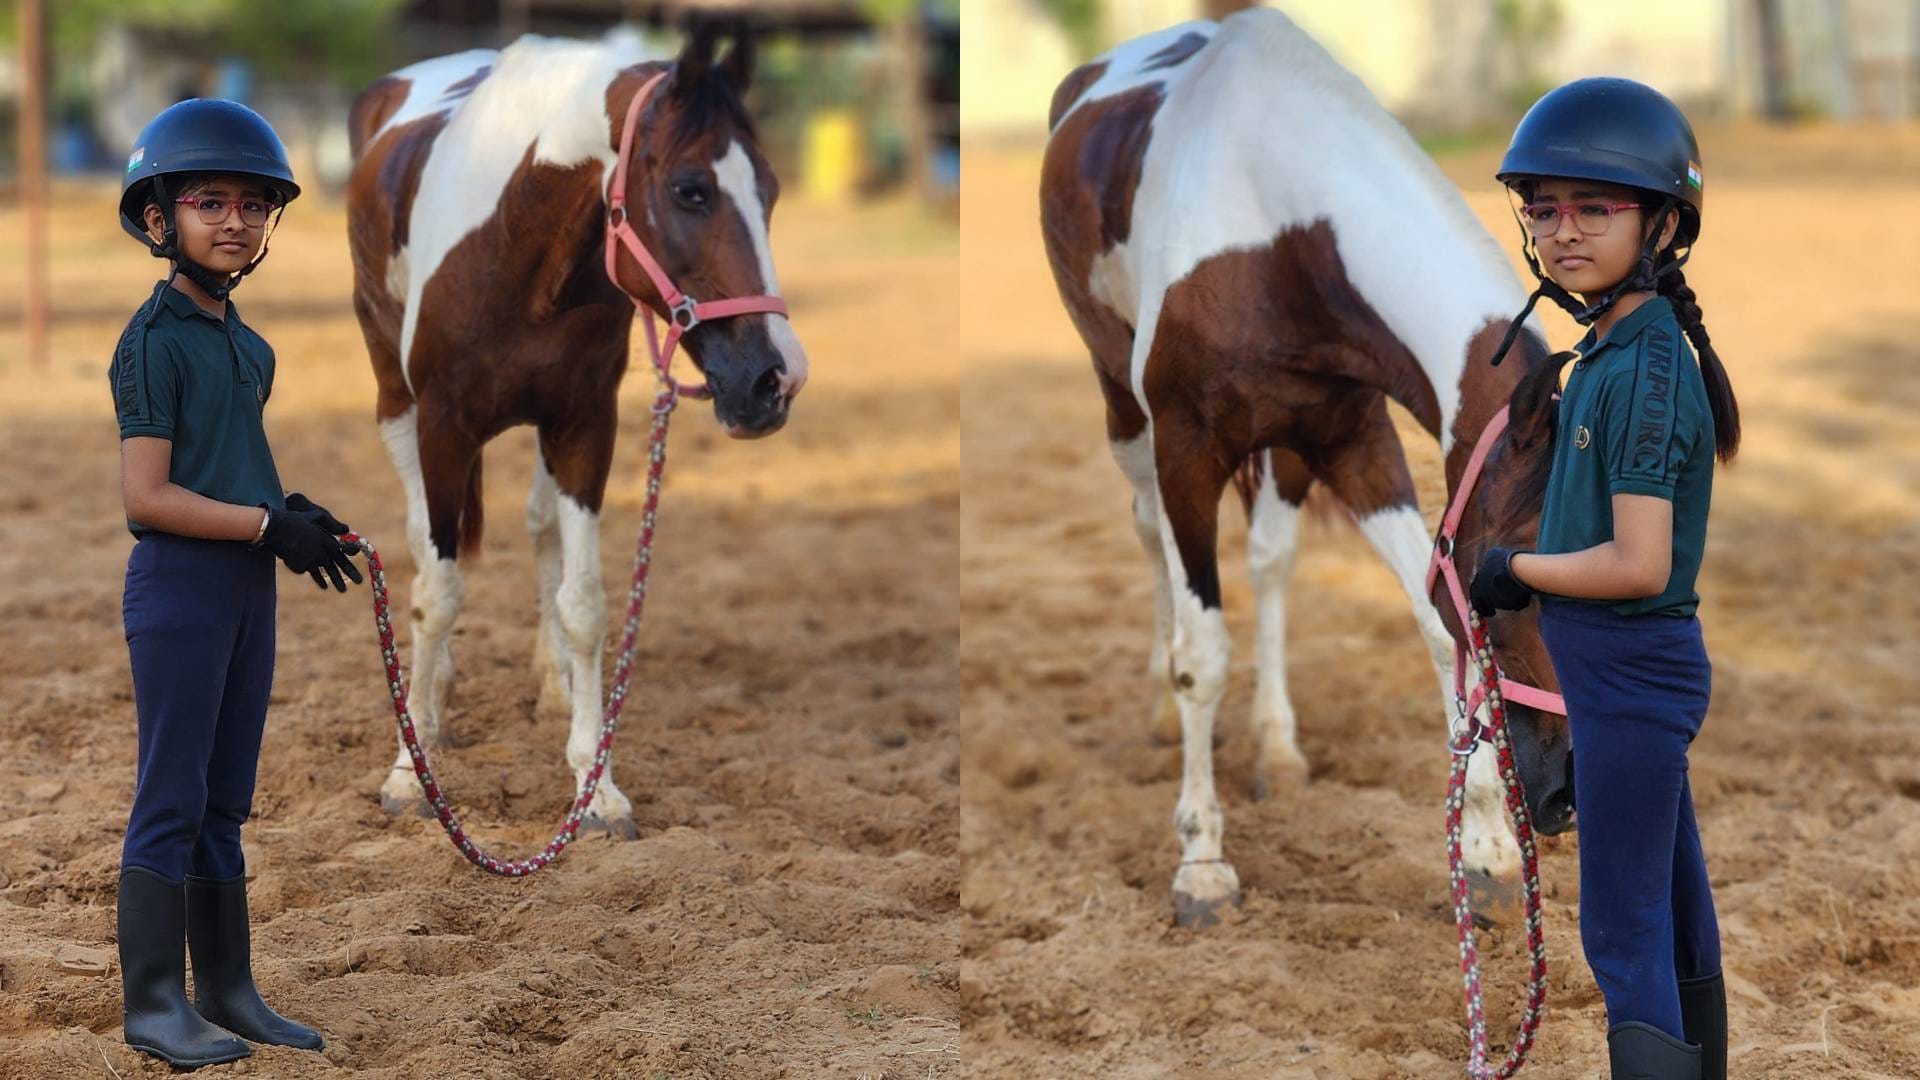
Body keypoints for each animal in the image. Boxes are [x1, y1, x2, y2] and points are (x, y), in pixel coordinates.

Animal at [344, 25, 807, 838]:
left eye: (772, 192)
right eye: (691, 189)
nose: (774, 379)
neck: (512, 246)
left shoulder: (584, 423)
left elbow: (586, 602)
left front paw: (597, 787)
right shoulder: (442, 425)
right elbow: (438, 590)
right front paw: (409, 772)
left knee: (538, 531)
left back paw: (550, 683)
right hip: (393, 396)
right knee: (421, 547)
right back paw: (432, 700)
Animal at [1039, 8, 1574, 927]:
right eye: (1513, 594)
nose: (1563, 795)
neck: (1280, 233)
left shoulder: (1355, 440)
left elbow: (1437, 631)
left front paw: (1487, 852)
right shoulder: (1187, 451)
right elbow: (1202, 654)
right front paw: (1203, 864)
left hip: (1288, 449)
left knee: (1270, 562)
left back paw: (1278, 749)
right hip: (1124, 410)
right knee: (1148, 536)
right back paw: (1162, 709)